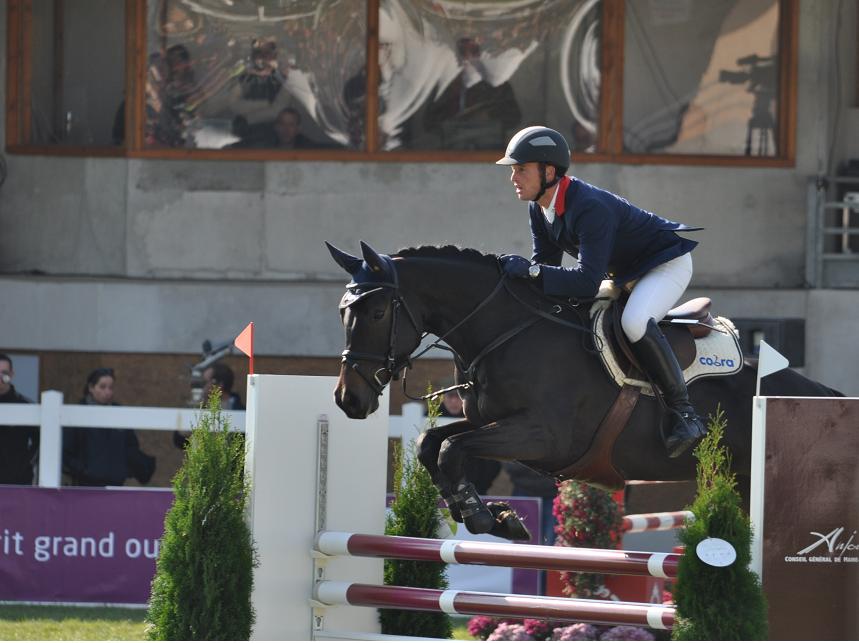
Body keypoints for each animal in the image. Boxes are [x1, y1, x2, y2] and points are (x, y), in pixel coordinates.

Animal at [328, 240, 840, 540]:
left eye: (377, 313)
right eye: (342, 312)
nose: (349, 400)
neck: (506, 330)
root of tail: (822, 396)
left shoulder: (542, 437)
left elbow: (453, 448)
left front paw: (483, 515)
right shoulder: (488, 420)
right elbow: (431, 443)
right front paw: (495, 516)